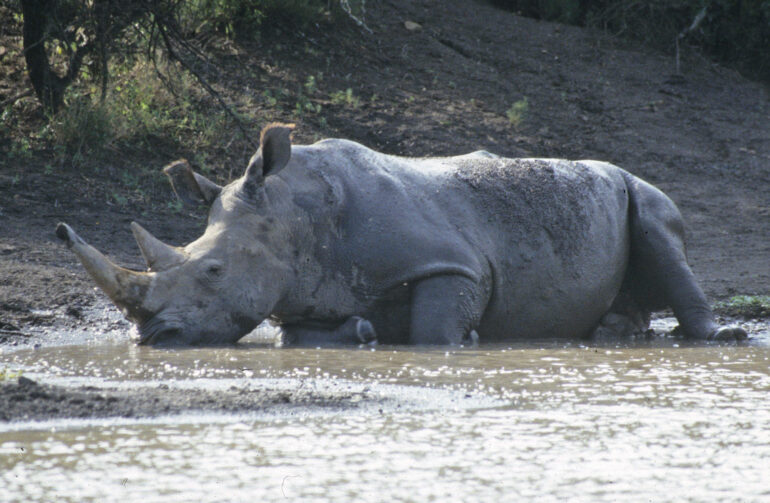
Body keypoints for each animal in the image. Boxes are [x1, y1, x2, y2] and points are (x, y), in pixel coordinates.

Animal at [56, 124, 746, 346]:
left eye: (213, 271)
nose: (152, 339)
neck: (296, 215)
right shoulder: (299, 291)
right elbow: (302, 338)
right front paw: (361, 333)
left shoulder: (453, 262)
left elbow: (432, 330)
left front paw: (462, 342)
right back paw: (611, 332)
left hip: (637, 187)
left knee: (658, 227)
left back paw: (719, 340)